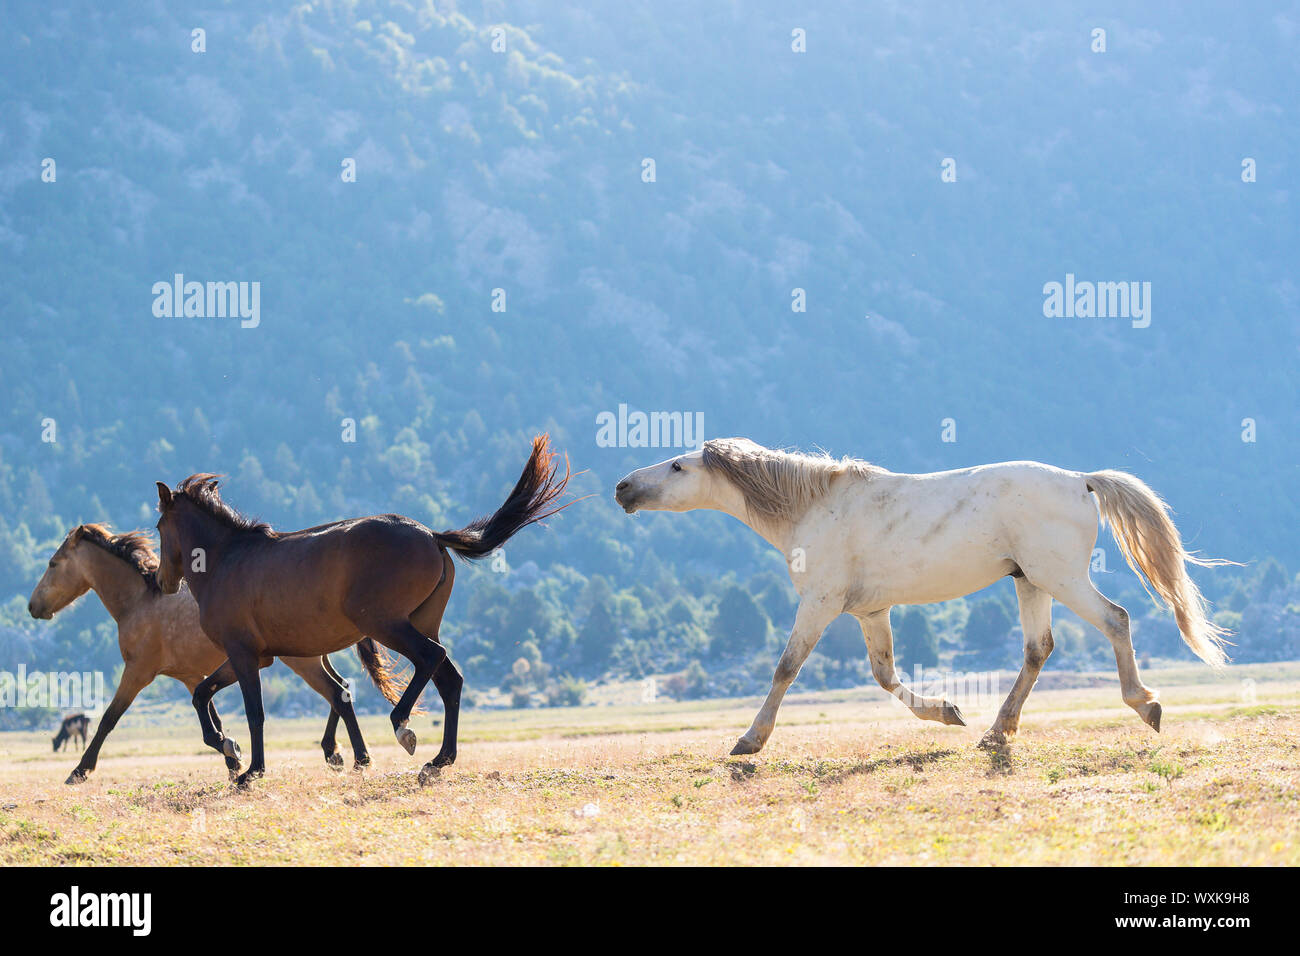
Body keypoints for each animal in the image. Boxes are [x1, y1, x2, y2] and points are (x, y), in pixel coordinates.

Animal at [28, 523, 404, 783]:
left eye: (53, 562)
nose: (33, 607)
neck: (140, 602)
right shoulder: (190, 674)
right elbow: (211, 714)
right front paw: (233, 757)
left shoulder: (138, 672)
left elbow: (109, 718)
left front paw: (79, 770)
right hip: (311, 655)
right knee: (341, 691)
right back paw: (336, 752)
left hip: (302, 659)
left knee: (337, 693)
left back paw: (352, 757)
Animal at [154, 434, 574, 787]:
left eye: (159, 526)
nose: (161, 581)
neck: (227, 559)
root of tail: (431, 535)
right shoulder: (256, 656)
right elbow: (202, 693)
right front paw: (228, 746)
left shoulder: (244, 654)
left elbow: (253, 711)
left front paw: (249, 771)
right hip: (417, 623)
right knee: (448, 678)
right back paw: (436, 762)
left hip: (385, 624)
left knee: (430, 658)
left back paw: (403, 728)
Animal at [615, 437, 1232, 755]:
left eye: (678, 465)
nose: (623, 487)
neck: (813, 506)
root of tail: (1081, 480)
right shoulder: (870, 611)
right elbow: (884, 675)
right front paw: (948, 712)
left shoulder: (819, 603)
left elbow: (786, 668)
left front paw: (749, 741)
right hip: (1030, 581)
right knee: (1038, 650)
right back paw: (995, 731)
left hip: (1060, 578)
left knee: (1116, 619)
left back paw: (1145, 704)